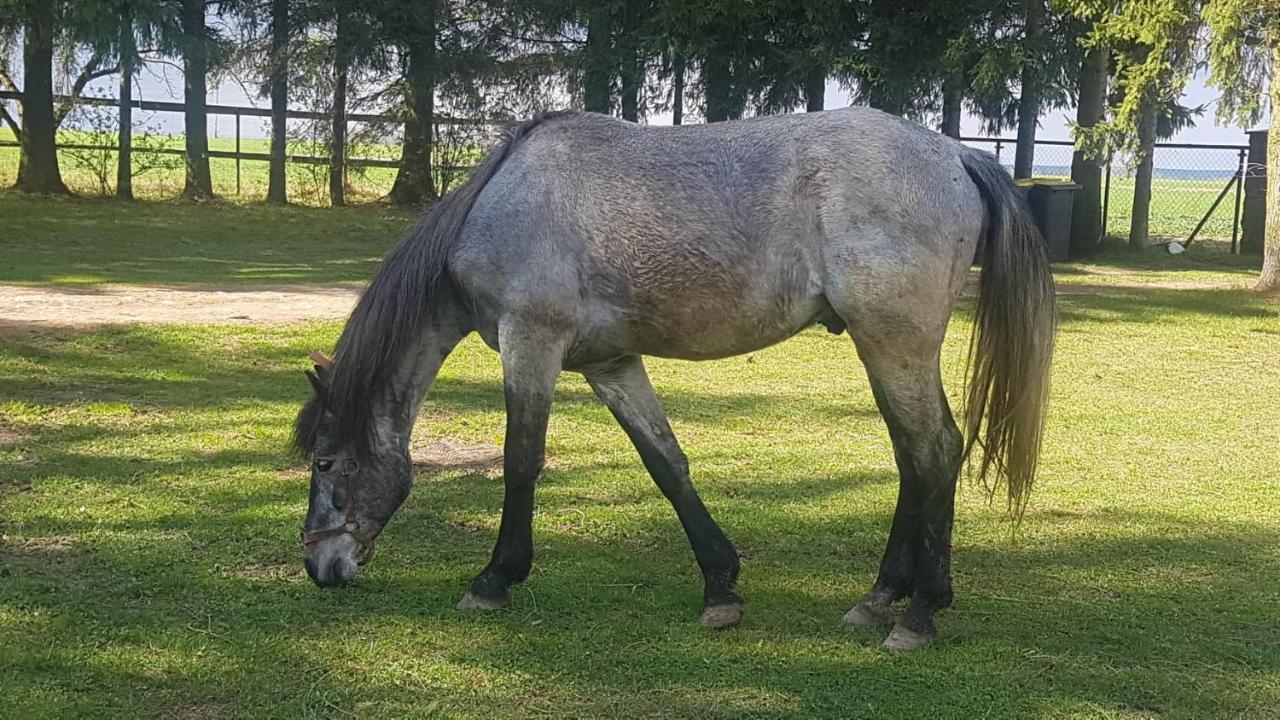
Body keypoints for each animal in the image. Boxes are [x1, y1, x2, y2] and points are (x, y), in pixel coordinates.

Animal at [294, 107, 1054, 650]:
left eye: (327, 462)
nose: (317, 569)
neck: (499, 205)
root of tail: (955, 153)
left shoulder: (530, 343)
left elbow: (521, 462)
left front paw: (494, 579)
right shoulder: (610, 362)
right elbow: (666, 463)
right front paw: (721, 587)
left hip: (895, 344)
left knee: (937, 450)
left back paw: (920, 611)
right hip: (883, 350)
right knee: (912, 458)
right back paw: (879, 599)